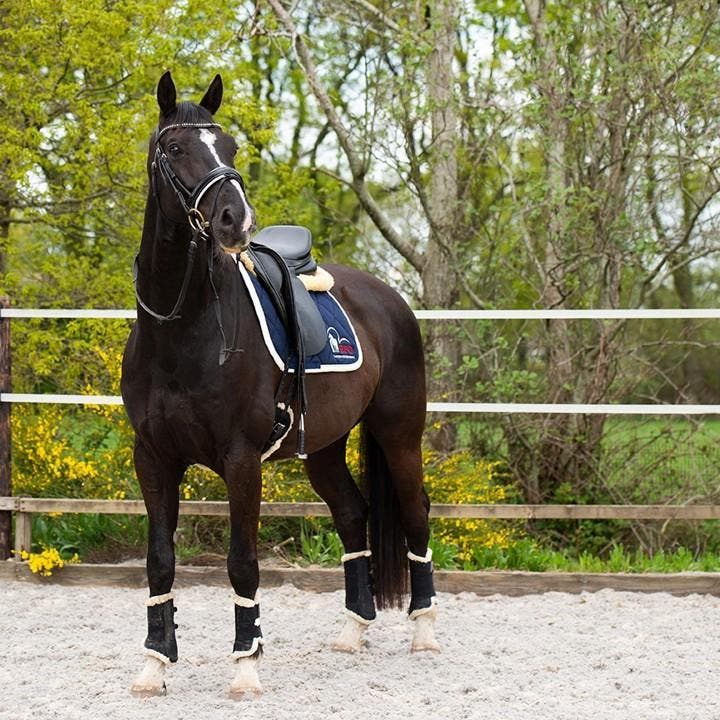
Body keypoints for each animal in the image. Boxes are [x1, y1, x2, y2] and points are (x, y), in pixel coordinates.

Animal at [121, 71, 440, 698]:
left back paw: (424, 630)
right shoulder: (154, 458)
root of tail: (390, 299)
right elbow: (159, 559)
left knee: (415, 511)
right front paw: (155, 663)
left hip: (399, 435)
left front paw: (246, 664)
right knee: (353, 513)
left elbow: (242, 561)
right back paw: (354, 630)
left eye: (229, 146)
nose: (234, 221)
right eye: (176, 148)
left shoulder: (241, 459)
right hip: (325, 446)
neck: (180, 328)